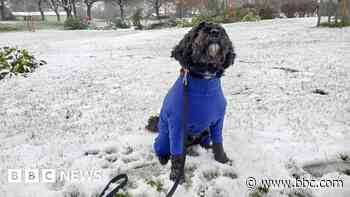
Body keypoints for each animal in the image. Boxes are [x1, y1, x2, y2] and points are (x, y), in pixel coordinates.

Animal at [146, 21, 237, 183]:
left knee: (204, 143)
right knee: (160, 146)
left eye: (221, 29)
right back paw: (163, 158)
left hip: (206, 132)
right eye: (199, 29)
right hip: (165, 137)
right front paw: (177, 177)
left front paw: (223, 160)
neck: (204, 79)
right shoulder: (177, 125)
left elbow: (219, 142)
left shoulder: (218, 121)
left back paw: (206, 148)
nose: (214, 32)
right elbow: (177, 155)